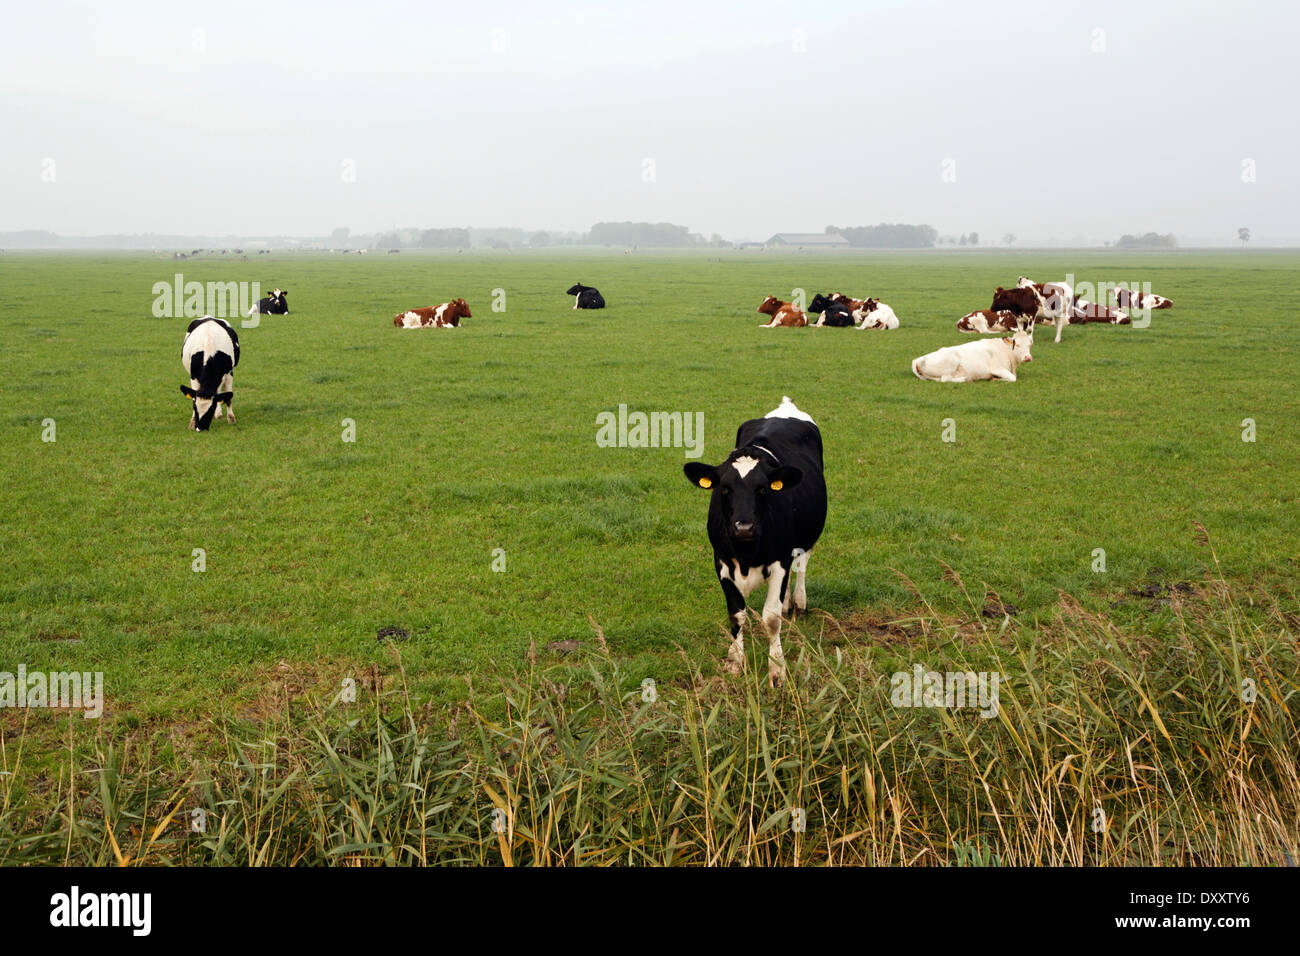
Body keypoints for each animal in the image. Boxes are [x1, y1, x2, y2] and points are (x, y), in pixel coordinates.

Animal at [686, 395, 826, 686]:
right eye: (724, 489)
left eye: (763, 489)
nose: (744, 527)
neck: (746, 552)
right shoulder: (721, 561)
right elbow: (737, 614)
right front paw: (734, 661)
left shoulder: (780, 560)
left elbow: (771, 619)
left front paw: (777, 670)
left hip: (807, 536)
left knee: (802, 565)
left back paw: (799, 602)